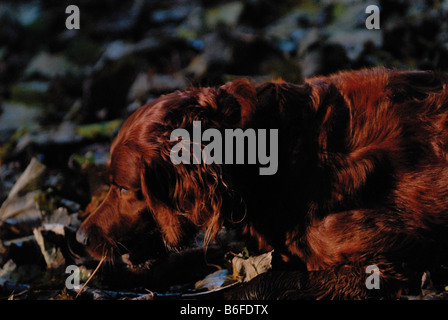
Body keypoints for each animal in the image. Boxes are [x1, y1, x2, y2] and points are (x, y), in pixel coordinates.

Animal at [75, 68, 448, 300]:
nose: (79, 238)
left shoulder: (385, 269)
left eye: (124, 188)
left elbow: (258, 283)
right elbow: (187, 258)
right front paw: (110, 278)